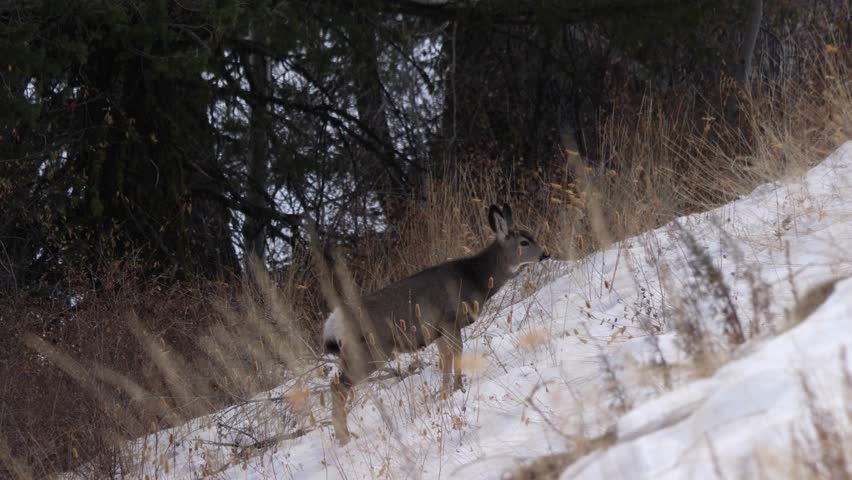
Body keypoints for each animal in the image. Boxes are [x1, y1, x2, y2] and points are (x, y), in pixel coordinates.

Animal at [321, 204, 549, 444]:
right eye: (524, 242)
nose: (545, 254)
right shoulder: (450, 318)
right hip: (370, 351)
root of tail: (334, 323)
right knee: (337, 386)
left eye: (531, 235)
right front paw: (459, 387)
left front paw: (445, 393)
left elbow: (445, 358)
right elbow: (457, 351)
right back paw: (344, 438)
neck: (475, 278)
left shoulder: (437, 330)